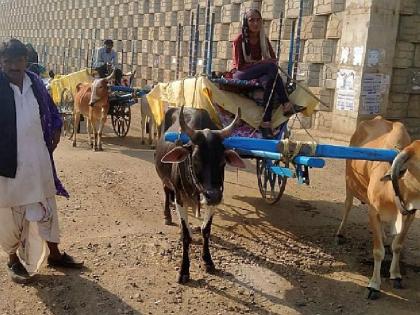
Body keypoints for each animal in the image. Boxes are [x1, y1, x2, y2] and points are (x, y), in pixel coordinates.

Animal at [334, 117, 420, 300]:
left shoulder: (410, 214)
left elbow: (398, 245)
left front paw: (395, 275)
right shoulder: (373, 213)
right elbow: (378, 251)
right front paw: (374, 285)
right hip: (349, 181)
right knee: (347, 206)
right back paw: (340, 233)